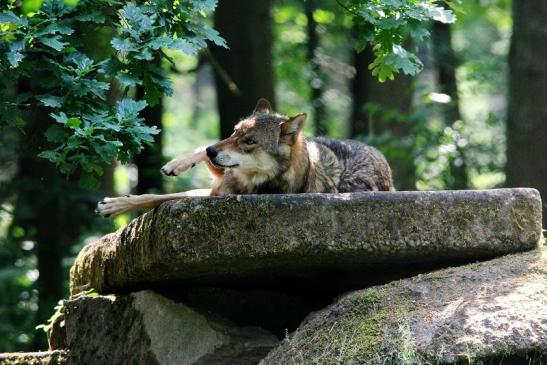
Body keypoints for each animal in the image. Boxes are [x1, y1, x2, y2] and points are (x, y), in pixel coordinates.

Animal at [94, 98, 394, 216]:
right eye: (234, 132)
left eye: (250, 142)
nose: (213, 152)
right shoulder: (217, 185)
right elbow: (155, 196)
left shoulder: (217, 196)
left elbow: (161, 199)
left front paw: (113, 206)